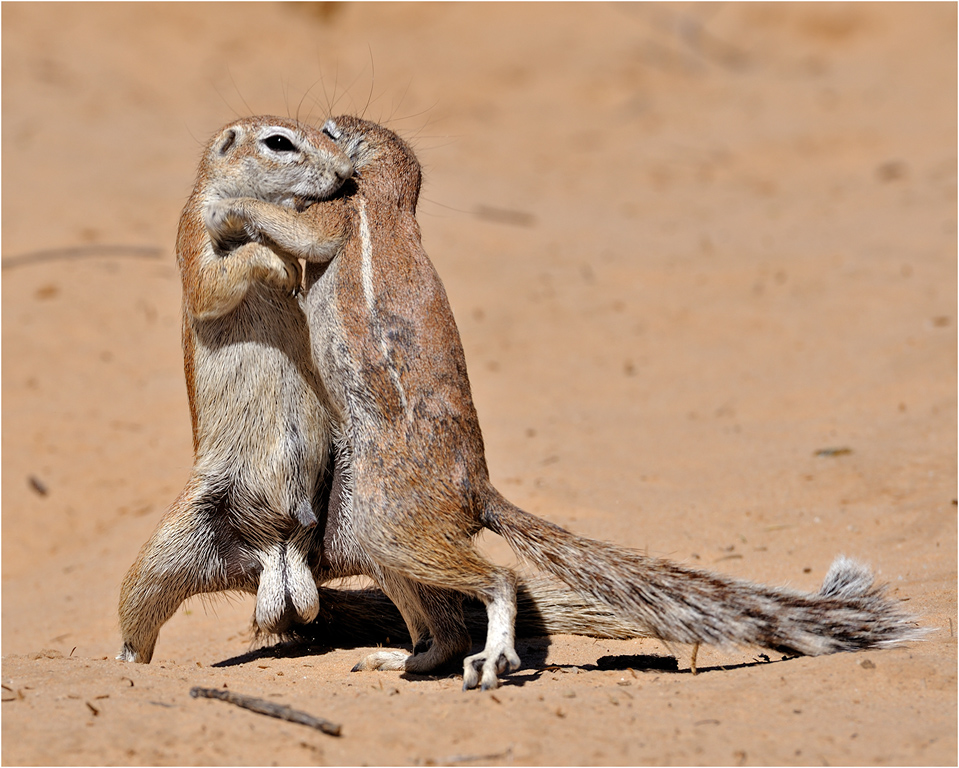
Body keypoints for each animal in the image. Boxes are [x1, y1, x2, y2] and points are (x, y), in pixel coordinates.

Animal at [117, 116, 655, 665]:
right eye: (279, 142)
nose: (340, 172)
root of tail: (277, 557)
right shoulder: (192, 232)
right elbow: (211, 283)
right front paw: (267, 253)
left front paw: (279, 259)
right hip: (172, 551)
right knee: (140, 616)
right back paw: (129, 662)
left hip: (364, 520)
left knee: (447, 612)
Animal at [205, 114, 924, 690]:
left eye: (330, 131)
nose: (326, 122)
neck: (390, 196)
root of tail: (479, 493)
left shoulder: (331, 222)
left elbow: (299, 234)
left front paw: (234, 212)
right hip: (368, 523)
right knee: (444, 625)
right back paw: (404, 659)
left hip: (387, 521)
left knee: (497, 582)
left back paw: (491, 658)